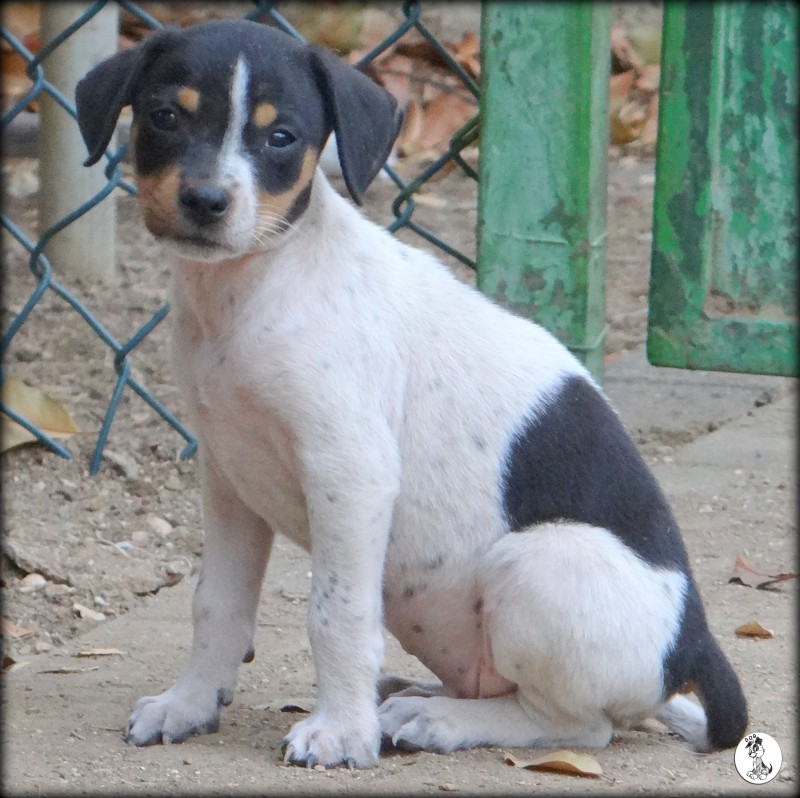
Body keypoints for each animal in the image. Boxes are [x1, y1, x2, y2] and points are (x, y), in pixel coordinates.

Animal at [75, 19, 747, 768]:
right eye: (165, 116)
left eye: (281, 137)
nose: (205, 202)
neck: (256, 289)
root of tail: (692, 646)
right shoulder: (228, 477)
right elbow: (215, 604)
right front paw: (190, 704)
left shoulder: (350, 473)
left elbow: (336, 614)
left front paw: (341, 731)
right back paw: (412, 695)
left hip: (540, 562)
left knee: (579, 726)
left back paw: (440, 721)